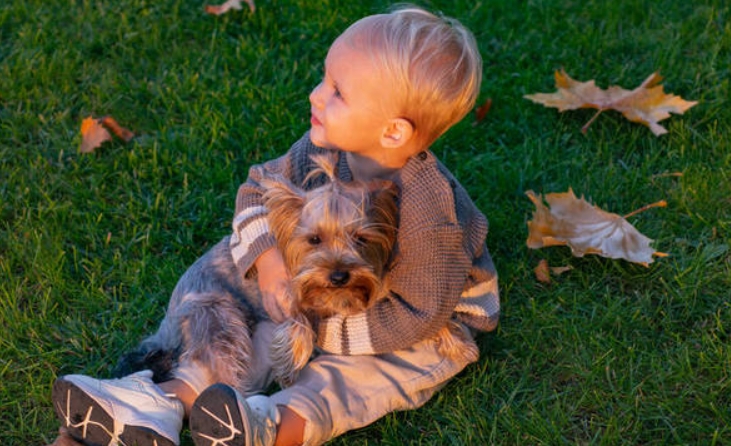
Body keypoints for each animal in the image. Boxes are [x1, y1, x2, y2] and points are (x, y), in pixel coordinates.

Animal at [115, 155, 400, 392]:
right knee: (226, 366)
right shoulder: (285, 297)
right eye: (314, 239)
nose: (339, 276)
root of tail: (168, 322)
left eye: (361, 239)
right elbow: (300, 321)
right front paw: (290, 364)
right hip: (216, 317)